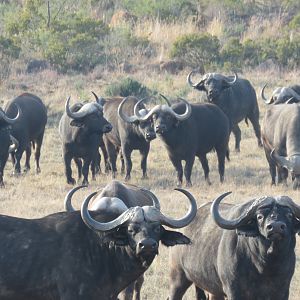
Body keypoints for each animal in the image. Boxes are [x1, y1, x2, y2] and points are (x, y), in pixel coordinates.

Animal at [168, 192, 300, 300]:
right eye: (259, 216)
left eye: (289, 215)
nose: (276, 227)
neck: (265, 265)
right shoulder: (234, 291)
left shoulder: (282, 291)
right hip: (177, 278)